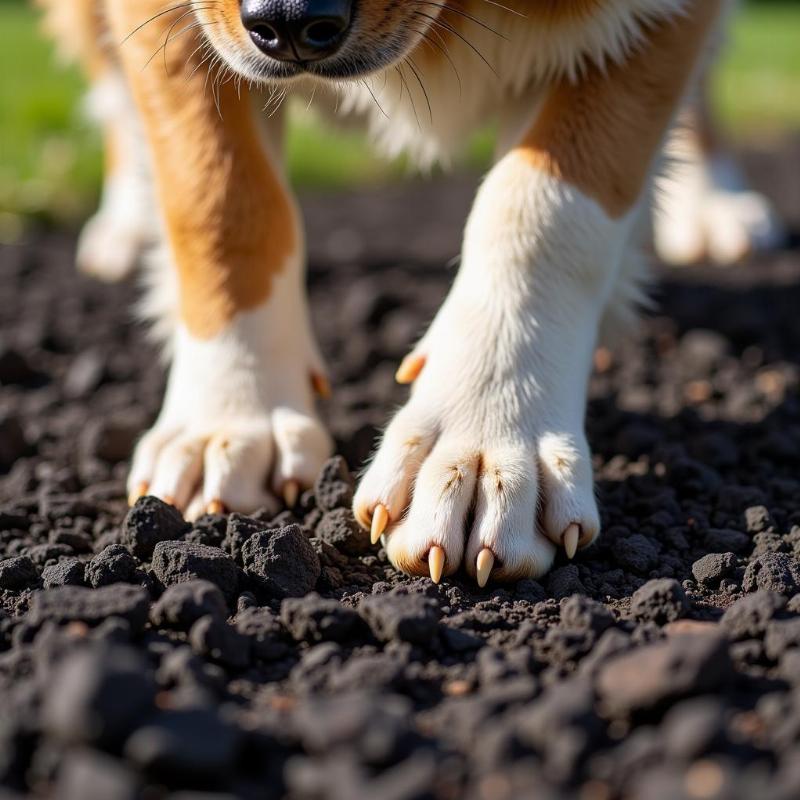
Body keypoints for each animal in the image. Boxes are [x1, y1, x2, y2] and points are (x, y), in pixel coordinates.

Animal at [37, 0, 764, 588]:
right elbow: (217, 194)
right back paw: (127, 223)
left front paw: (486, 434)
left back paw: (715, 206)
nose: (290, 18)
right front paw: (229, 416)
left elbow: (547, 206)